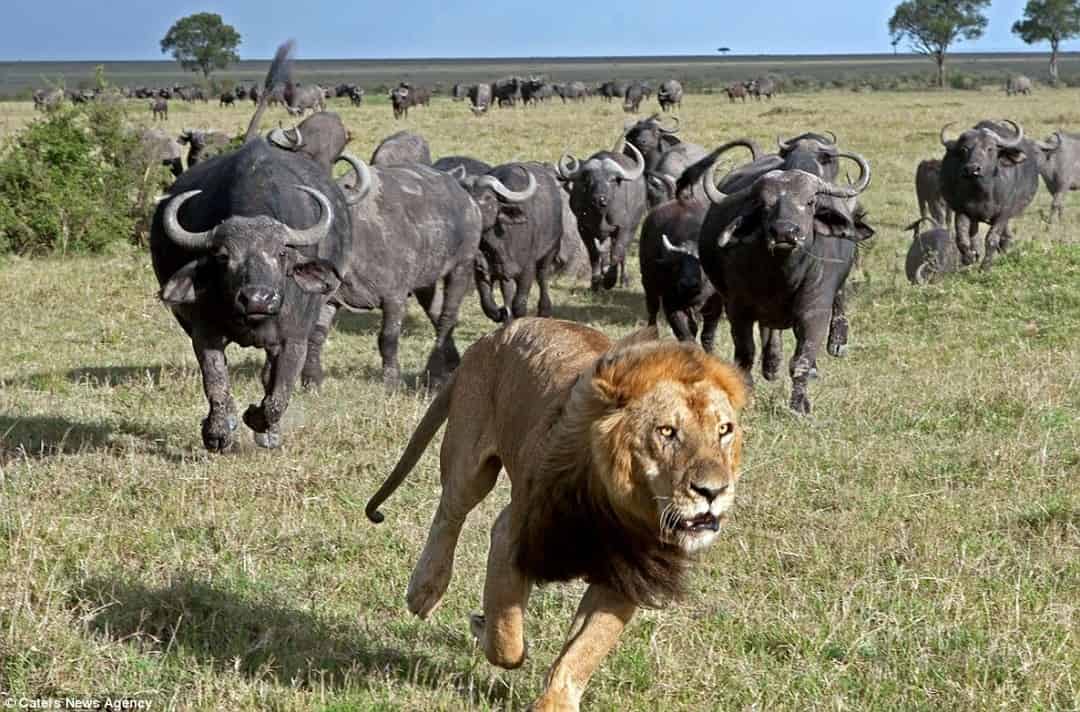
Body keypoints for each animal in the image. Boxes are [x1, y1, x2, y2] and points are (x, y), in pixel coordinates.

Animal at [366, 318, 748, 711]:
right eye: (667, 432)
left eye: (724, 430)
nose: (713, 492)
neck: (614, 508)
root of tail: (493, 334)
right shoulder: (512, 534)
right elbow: (507, 636)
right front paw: (483, 626)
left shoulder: (626, 575)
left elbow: (584, 651)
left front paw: (555, 701)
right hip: (469, 462)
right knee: (449, 514)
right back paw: (425, 589)